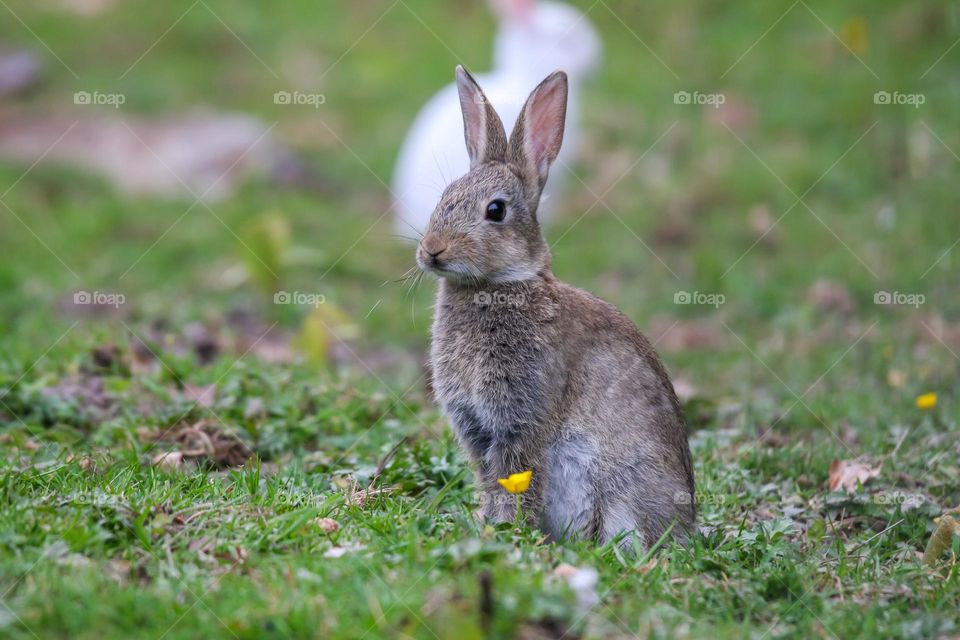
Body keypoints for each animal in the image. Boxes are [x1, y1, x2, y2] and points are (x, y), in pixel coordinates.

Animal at [417, 66, 695, 548]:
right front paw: (488, 524)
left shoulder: (522, 417)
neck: (495, 285)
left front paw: (508, 531)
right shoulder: (478, 429)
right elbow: (490, 481)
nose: (432, 250)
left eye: (495, 210)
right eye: (445, 195)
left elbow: (517, 479)